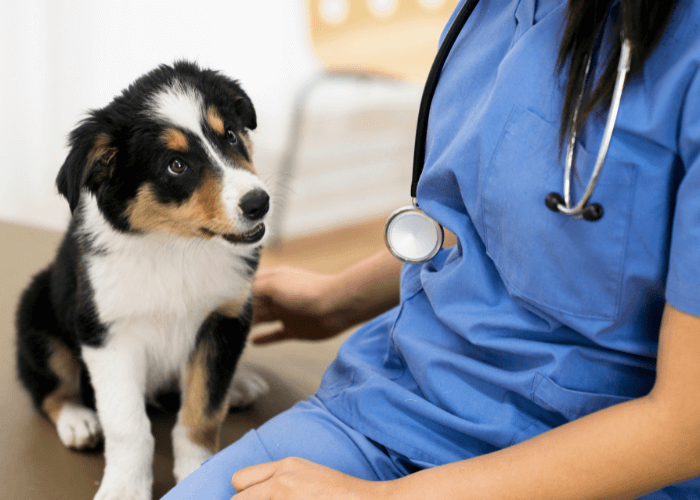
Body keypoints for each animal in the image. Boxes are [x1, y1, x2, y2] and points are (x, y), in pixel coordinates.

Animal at [15, 62, 274, 500]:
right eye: (176, 165)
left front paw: (198, 472)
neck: (174, 247)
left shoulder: (224, 319)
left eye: (231, 135)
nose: (259, 203)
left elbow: (203, 408)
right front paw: (124, 488)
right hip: (36, 307)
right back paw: (78, 420)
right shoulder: (106, 333)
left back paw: (239, 384)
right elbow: (128, 425)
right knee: (48, 386)